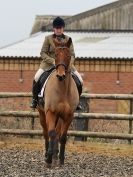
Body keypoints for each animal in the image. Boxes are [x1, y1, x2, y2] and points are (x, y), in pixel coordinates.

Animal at [37, 37, 79, 166]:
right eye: (55, 54)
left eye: (68, 55)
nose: (61, 76)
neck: (62, 90)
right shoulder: (50, 112)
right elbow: (51, 133)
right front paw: (49, 159)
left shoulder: (69, 115)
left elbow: (63, 137)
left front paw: (61, 159)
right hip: (42, 114)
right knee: (47, 133)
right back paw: (48, 155)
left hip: (60, 117)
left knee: (57, 133)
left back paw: (55, 156)